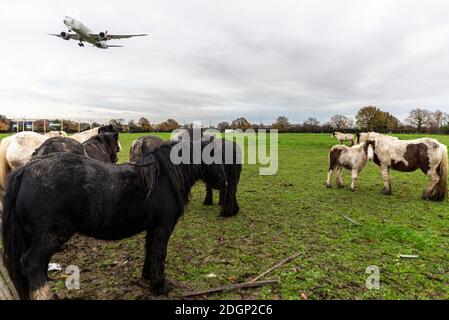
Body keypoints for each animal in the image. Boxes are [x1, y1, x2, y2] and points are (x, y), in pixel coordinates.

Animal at [1, 140, 226, 300]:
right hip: (50, 237)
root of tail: (26, 170)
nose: (223, 183)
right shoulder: (162, 228)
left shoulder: (152, 228)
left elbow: (150, 252)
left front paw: (147, 279)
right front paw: (160, 286)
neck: (163, 178)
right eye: (214, 157)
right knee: (32, 264)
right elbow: (159, 255)